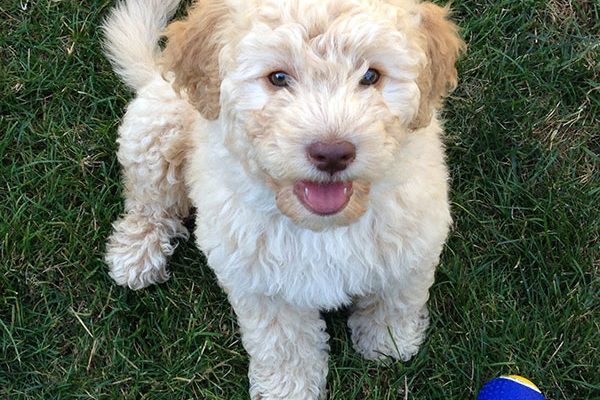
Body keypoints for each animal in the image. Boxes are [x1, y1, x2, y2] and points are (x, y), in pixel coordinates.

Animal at [102, 1, 464, 398]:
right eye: (277, 78)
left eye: (371, 76)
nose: (332, 153)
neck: (322, 227)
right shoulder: (259, 283)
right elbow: (282, 341)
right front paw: (289, 388)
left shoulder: (413, 243)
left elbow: (396, 297)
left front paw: (387, 341)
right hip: (155, 131)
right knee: (149, 202)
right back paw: (136, 252)